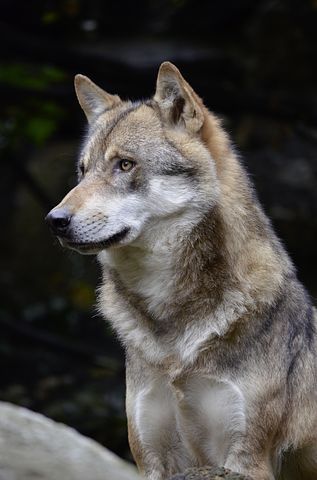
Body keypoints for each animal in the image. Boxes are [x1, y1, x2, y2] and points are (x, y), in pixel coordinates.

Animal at [46, 62, 316, 478]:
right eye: (83, 171)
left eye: (125, 164)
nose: (55, 220)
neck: (173, 331)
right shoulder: (152, 459)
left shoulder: (245, 459)